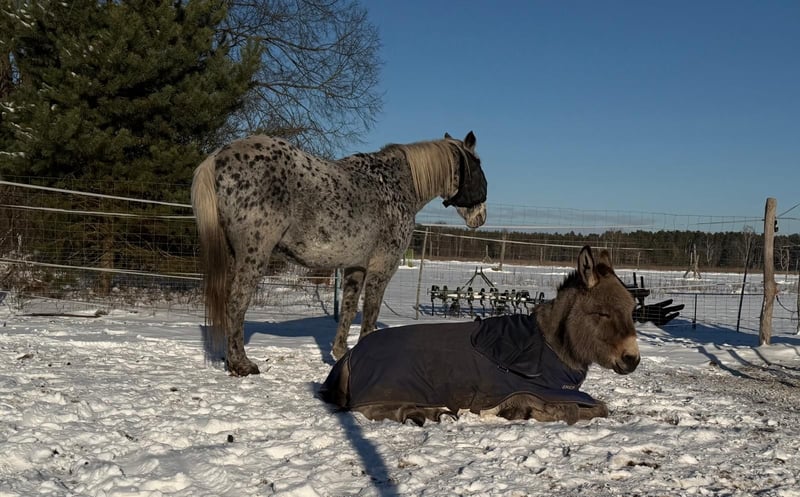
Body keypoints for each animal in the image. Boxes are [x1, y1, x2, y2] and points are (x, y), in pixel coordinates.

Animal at [191, 131, 487, 376]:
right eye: (478, 167)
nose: (480, 217)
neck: (397, 185)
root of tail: (218, 157)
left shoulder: (356, 267)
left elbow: (348, 308)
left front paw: (341, 353)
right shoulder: (382, 267)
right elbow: (370, 311)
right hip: (254, 256)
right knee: (237, 303)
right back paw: (242, 364)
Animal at [319, 246, 639, 425]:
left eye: (632, 309)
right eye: (602, 313)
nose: (632, 359)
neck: (549, 347)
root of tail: (349, 357)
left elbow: (597, 407)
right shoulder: (534, 392)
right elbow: (588, 409)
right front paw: (526, 414)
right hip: (389, 386)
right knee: (371, 409)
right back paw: (425, 413)